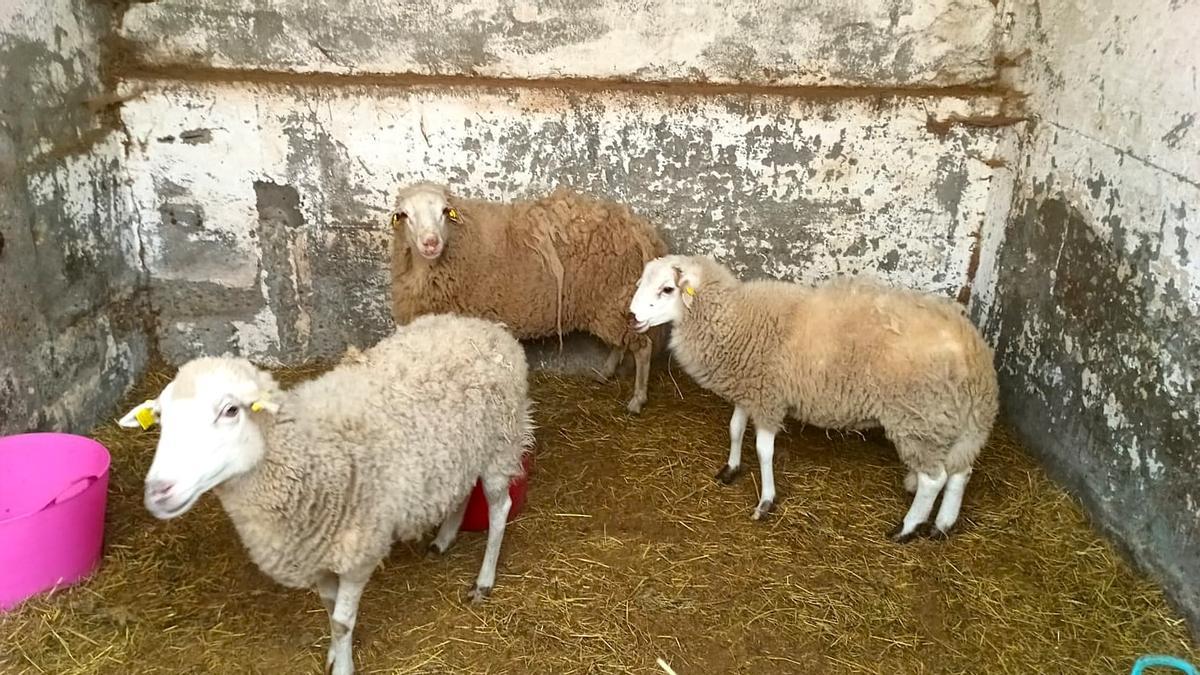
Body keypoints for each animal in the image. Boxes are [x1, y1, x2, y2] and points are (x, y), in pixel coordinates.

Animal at [118, 313, 534, 675]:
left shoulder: (357, 552)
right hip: (460, 451)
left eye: (231, 410)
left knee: (499, 509)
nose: (158, 491)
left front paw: (344, 665)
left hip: (501, 445)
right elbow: (329, 608)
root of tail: (481, 324)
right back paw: (444, 538)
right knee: (460, 490)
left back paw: (484, 580)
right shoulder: (314, 553)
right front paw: (335, 653)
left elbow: (342, 621)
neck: (308, 451)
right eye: (161, 419)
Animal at [389, 182, 669, 413]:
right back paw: (605, 373)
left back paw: (637, 400)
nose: (430, 242)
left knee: (643, 348)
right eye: (405, 215)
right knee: (621, 342)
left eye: (445, 211)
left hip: (615, 299)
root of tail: (640, 228)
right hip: (612, 303)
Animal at [628, 254, 999, 542]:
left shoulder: (769, 398)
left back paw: (907, 528)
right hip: (952, 422)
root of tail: (976, 354)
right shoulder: (750, 390)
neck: (735, 318)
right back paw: (942, 526)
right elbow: (734, 429)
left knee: (933, 479)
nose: (630, 316)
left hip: (918, 418)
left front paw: (766, 501)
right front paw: (730, 469)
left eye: (667, 289)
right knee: (960, 472)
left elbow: (763, 451)